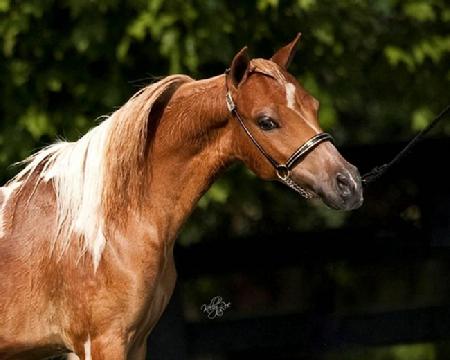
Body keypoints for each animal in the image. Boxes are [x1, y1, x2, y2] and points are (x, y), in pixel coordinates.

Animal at [0, 32, 362, 358]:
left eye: (314, 106)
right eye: (267, 121)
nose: (349, 183)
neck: (109, 222)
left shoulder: (136, 343)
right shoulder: (102, 342)